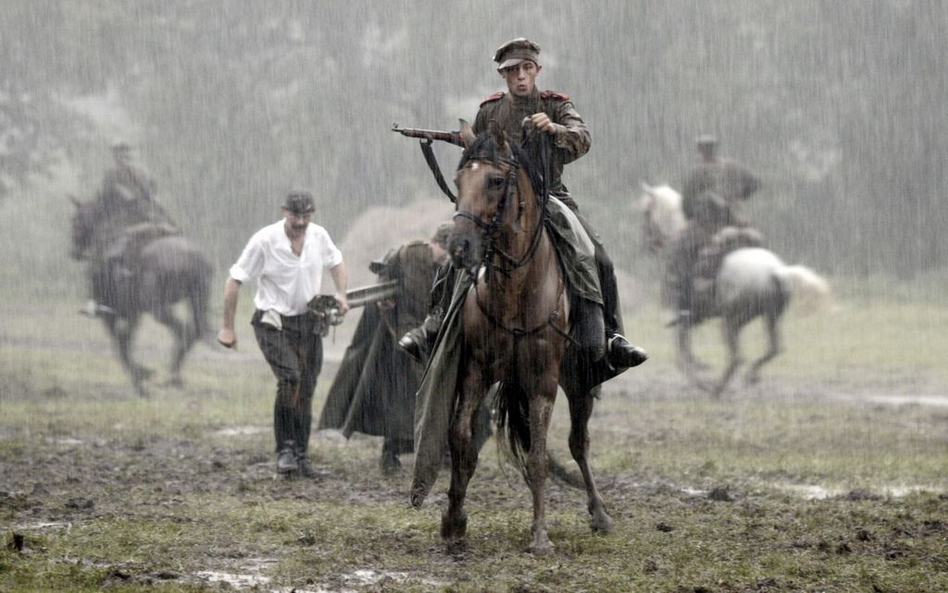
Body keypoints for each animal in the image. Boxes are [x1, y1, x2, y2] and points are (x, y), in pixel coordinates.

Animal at [69, 197, 212, 396]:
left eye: (75, 221)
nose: (73, 252)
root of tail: (193, 258)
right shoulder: (133, 314)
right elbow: (125, 342)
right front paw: (141, 378)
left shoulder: (112, 315)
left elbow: (120, 346)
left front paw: (141, 377)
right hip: (196, 301)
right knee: (194, 331)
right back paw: (174, 375)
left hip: (158, 309)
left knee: (183, 330)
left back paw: (172, 375)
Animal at [444, 122, 616, 552]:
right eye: (458, 180)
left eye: (495, 180)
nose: (460, 247)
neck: (515, 288)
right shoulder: (476, 370)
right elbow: (461, 439)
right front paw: (454, 521)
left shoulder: (543, 379)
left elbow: (538, 457)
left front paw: (540, 535)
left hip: (579, 379)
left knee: (578, 442)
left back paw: (600, 513)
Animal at [636, 180, 828, 394]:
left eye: (646, 212)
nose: (648, 244)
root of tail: (775, 272)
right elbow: (684, 351)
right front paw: (700, 370)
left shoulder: (683, 318)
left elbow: (681, 354)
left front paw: (699, 378)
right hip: (769, 318)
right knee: (773, 349)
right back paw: (750, 376)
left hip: (732, 322)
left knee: (737, 358)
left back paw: (716, 388)